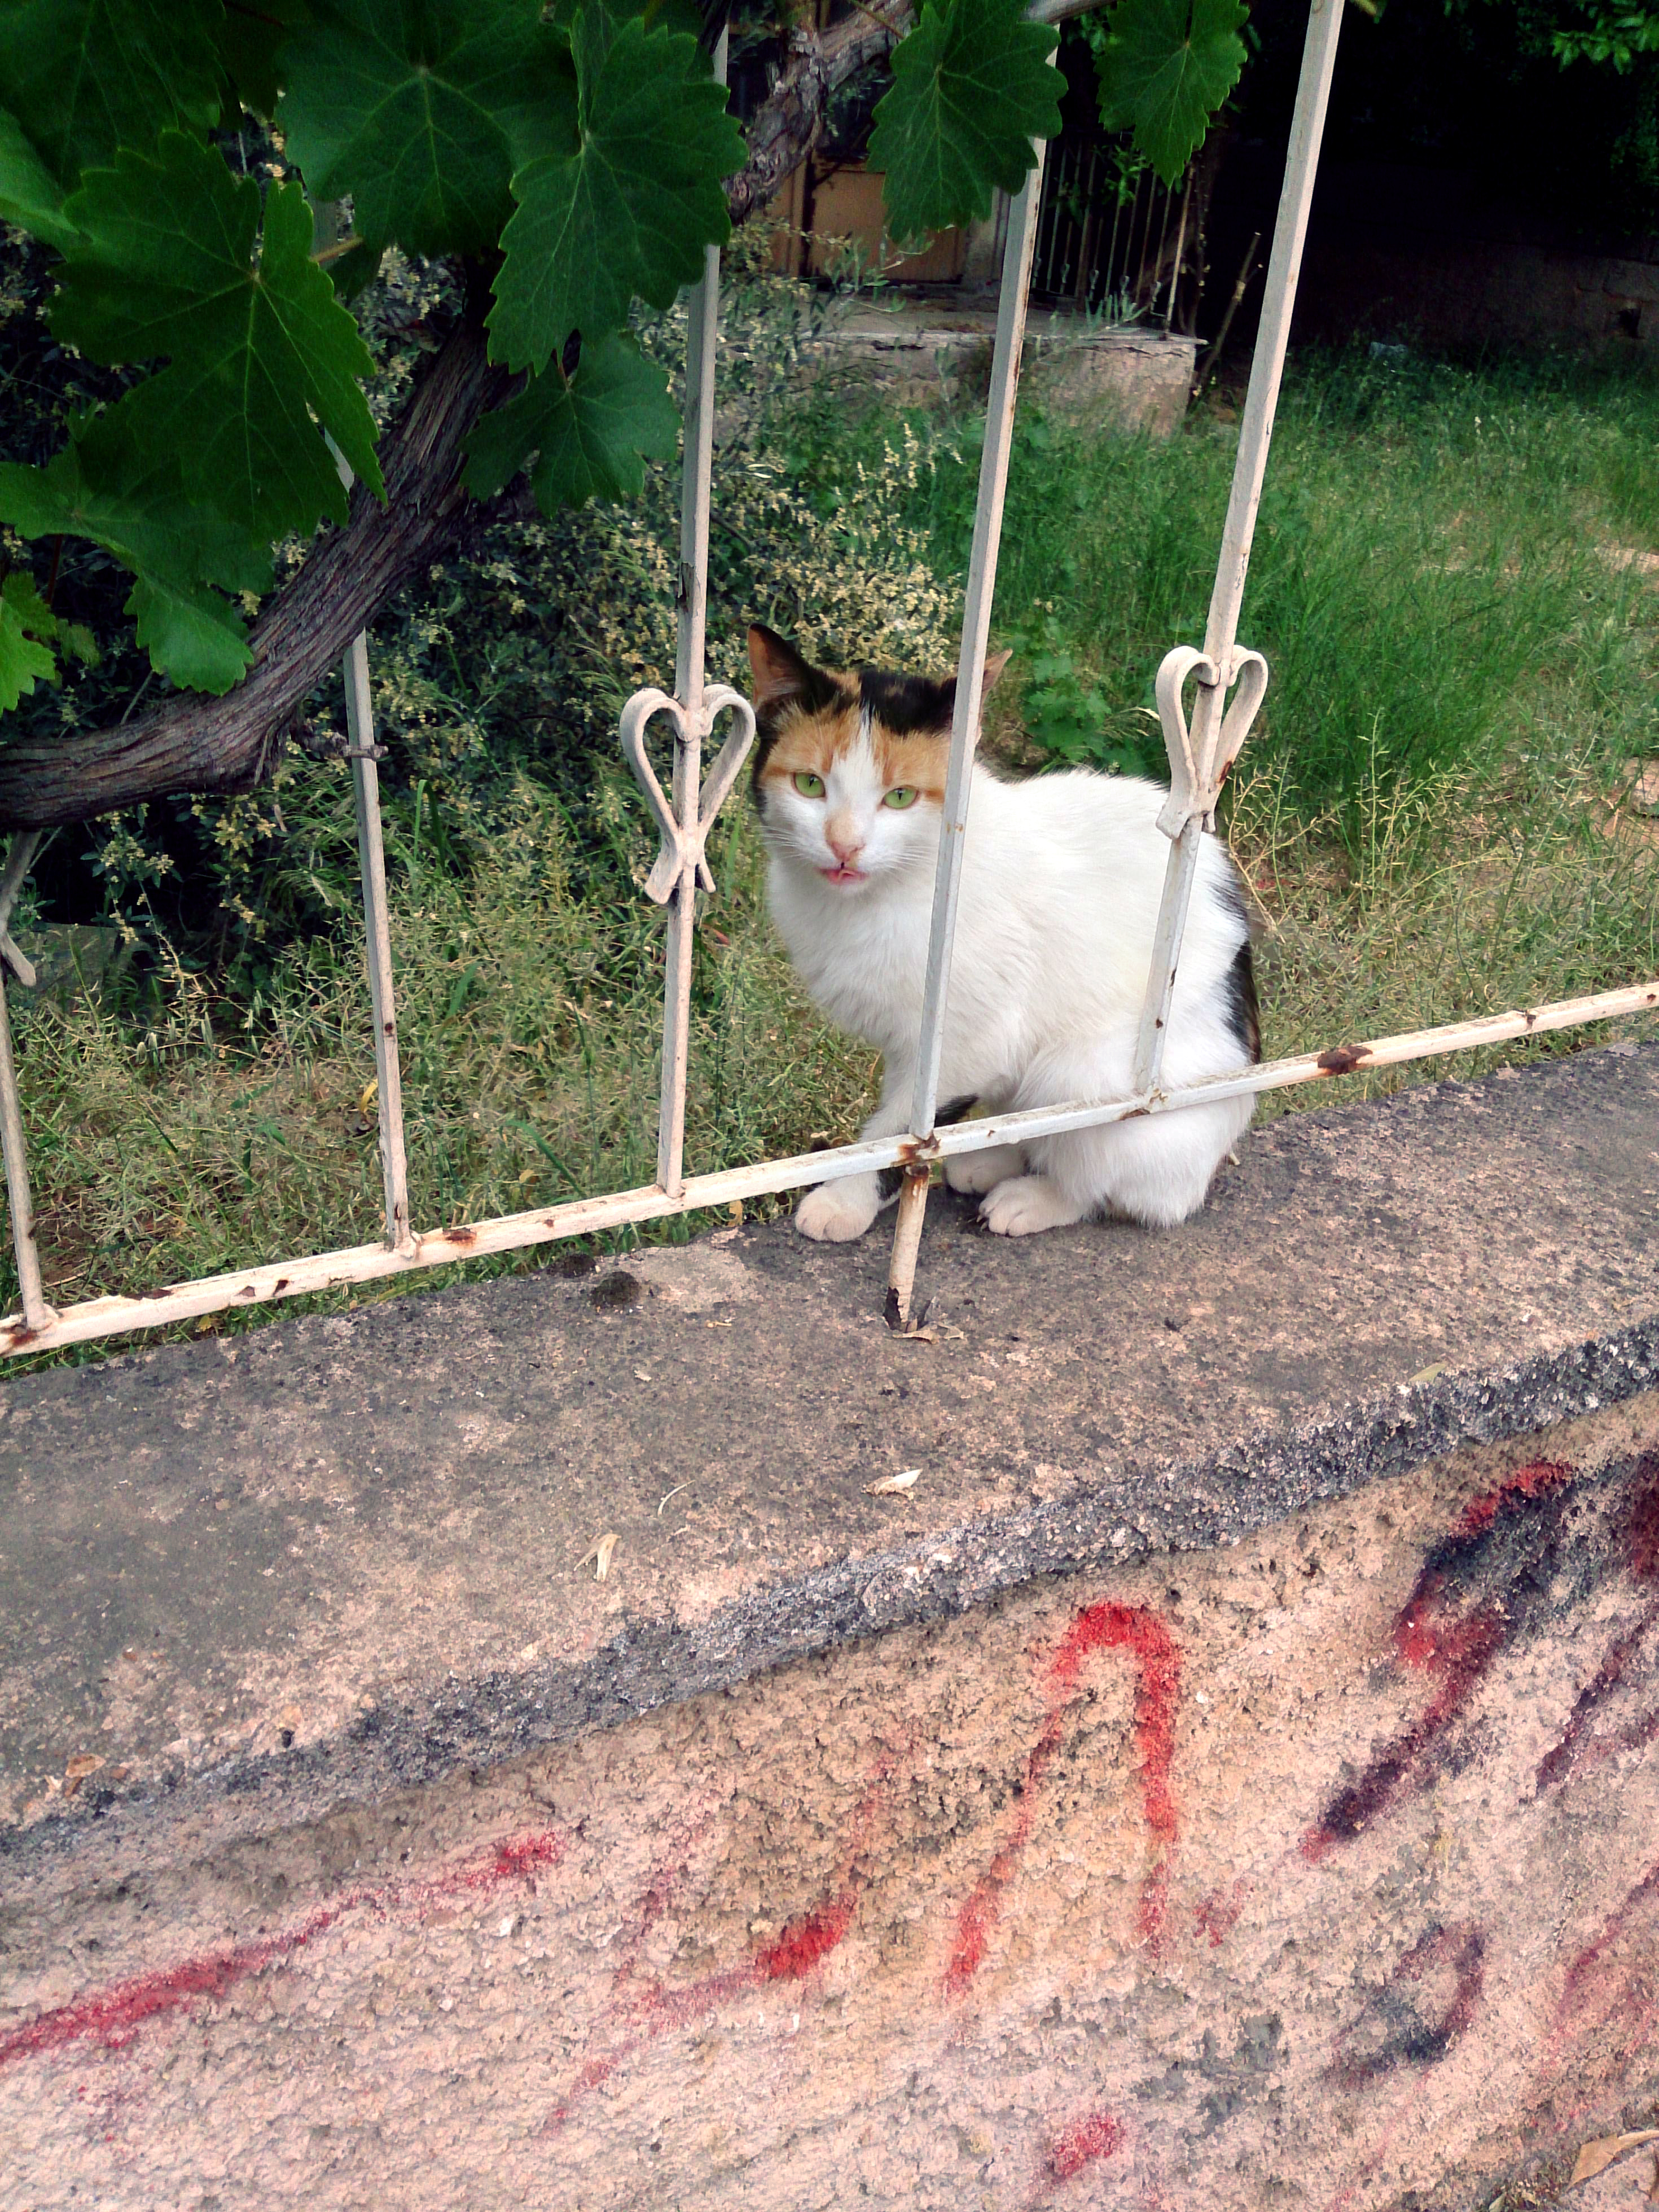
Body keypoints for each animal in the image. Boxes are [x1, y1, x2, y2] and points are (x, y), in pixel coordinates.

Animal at [752, 624, 1256, 1247]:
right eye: (809, 785)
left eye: (900, 797)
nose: (844, 846)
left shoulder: (966, 1041)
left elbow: (902, 1133)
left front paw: (845, 1199)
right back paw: (995, 1157)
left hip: (1095, 1071)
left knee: (1125, 1185)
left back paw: (1035, 1197)